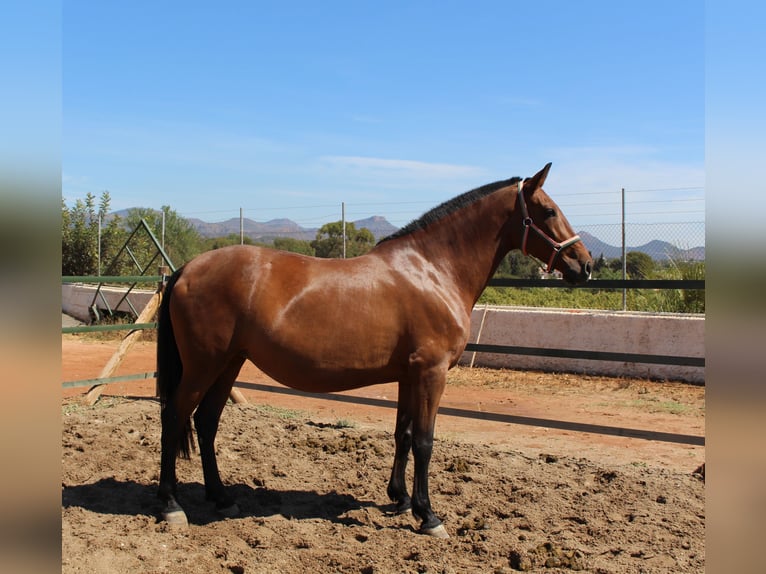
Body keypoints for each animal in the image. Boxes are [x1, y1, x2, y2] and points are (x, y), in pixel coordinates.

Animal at [153, 163, 592, 540]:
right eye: (549, 211)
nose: (585, 264)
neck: (432, 270)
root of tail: (186, 269)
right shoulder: (432, 373)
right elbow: (425, 441)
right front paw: (429, 515)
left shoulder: (408, 375)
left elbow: (403, 434)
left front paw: (400, 499)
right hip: (204, 365)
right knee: (175, 417)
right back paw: (171, 506)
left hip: (229, 363)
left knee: (206, 422)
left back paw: (222, 499)